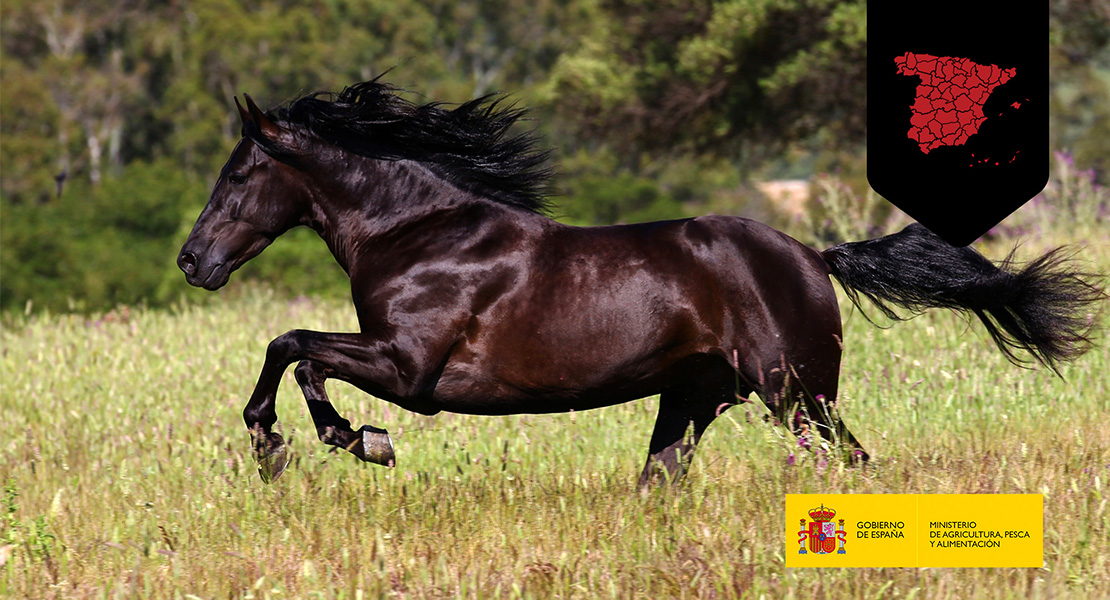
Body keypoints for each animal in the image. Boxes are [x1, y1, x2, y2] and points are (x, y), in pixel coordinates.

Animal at [177, 79, 1105, 483]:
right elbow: (296, 351)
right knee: (663, 479)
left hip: (797, 394)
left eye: (237, 173)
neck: (421, 235)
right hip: (695, 399)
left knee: (850, 461)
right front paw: (319, 442)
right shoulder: (394, 360)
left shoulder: (410, 370)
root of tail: (813, 256)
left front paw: (325, 443)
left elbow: (293, 349)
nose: (193, 261)